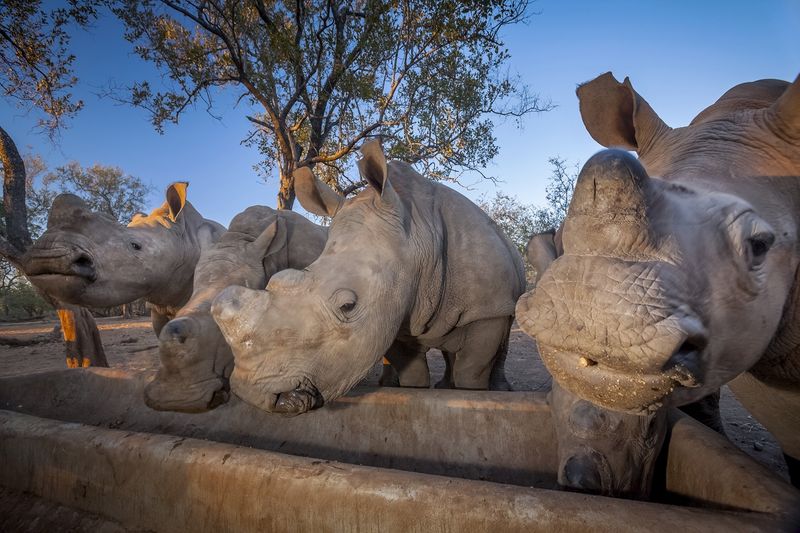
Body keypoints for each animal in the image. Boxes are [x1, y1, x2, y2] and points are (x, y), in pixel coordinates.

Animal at [211, 140, 526, 415]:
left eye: (348, 306)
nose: (253, 394)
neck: (417, 234)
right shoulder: (393, 312)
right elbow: (412, 374)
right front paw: (419, 392)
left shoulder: (488, 309)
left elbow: (472, 372)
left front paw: (471, 396)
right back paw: (443, 387)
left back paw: (498, 390)